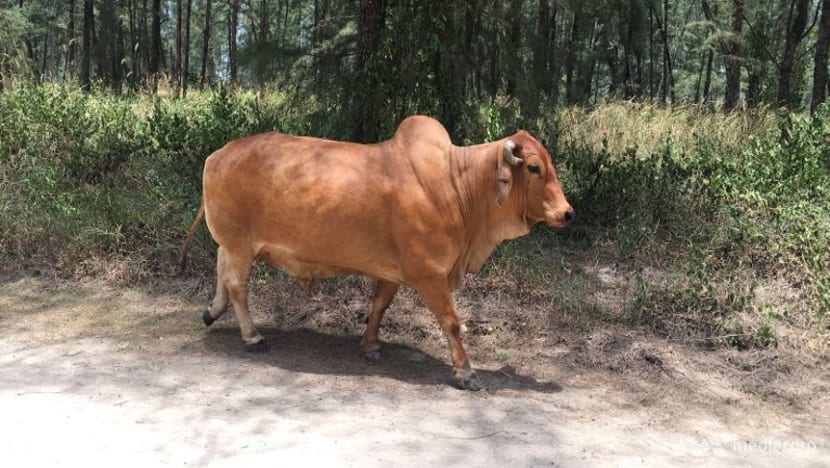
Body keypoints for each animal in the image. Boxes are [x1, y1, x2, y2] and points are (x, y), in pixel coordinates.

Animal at [180, 115, 573, 390]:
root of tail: (219, 153)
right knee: (237, 286)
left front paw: (370, 345)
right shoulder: (429, 274)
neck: (457, 184)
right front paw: (465, 372)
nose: (567, 213)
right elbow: (451, 322)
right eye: (534, 167)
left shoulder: (393, 271)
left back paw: (212, 311)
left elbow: (379, 306)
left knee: (221, 270)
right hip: (239, 244)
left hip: (232, 244)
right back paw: (252, 336)